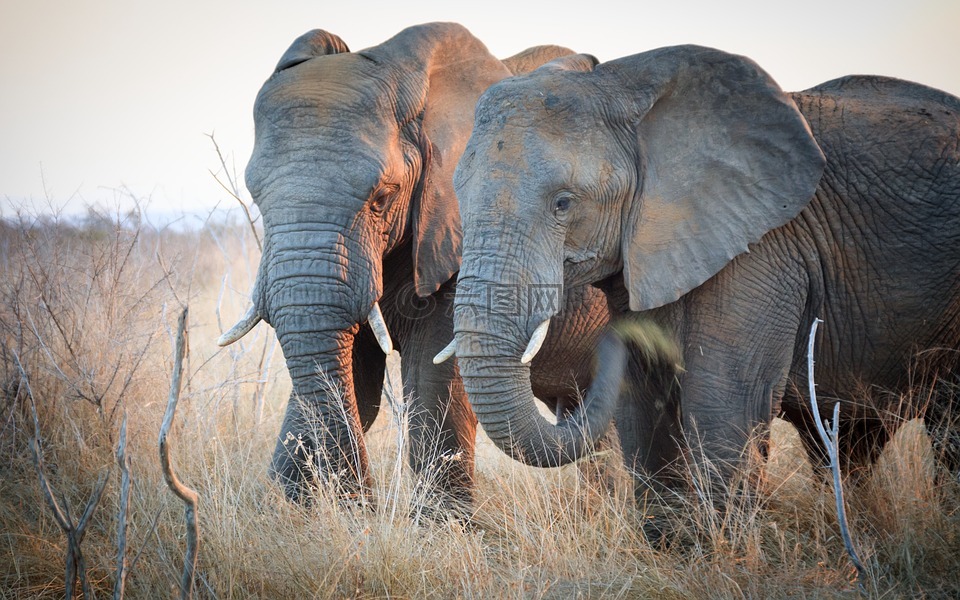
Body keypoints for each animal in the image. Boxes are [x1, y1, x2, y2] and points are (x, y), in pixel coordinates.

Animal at [217, 21, 608, 504]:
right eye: (256, 198)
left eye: (382, 198)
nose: (363, 502)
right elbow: (355, 378)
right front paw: (285, 507)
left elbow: (434, 380)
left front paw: (447, 522)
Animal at [450, 45, 960, 496]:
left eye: (563, 203)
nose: (612, 339)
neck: (620, 84)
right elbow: (645, 414)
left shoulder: (764, 251)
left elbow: (725, 414)